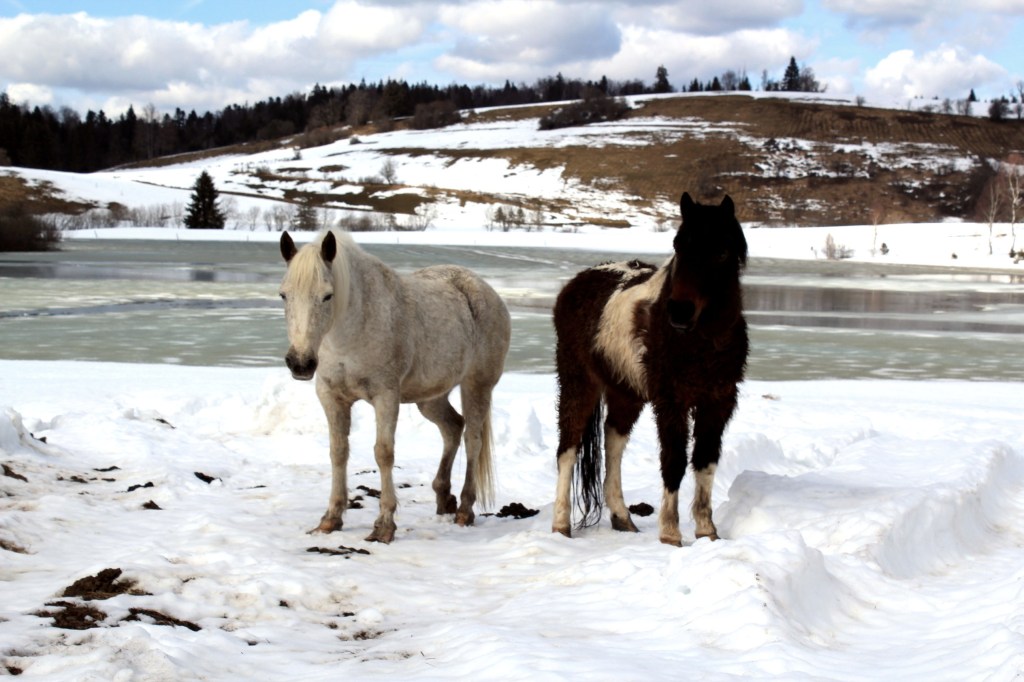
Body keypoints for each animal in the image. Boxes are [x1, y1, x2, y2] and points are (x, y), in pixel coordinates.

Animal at [278, 230, 511, 544]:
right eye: (284, 295)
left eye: (327, 295)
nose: (300, 363)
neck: (350, 333)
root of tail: (486, 291)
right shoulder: (331, 397)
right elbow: (338, 451)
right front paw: (331, 519)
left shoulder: (385, 396)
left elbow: (384, 453)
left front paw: (384, 525)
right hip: (431, 398)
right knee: (452, 428)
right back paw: (444, 498)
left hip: (477, 386)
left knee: (472, 439)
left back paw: (464, 509)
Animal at [551, 192, 748, 546]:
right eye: (679, 245)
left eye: (722, 252)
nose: (680, 311)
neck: (700, 340)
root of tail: (576, 285)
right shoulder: (671, 402)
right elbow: (674, 461)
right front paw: (670, 533)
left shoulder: (719, 401)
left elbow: (705, 461)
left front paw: (706, 530)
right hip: (578, 381)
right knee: (568, 448)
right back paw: (560, 525)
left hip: (625, 393)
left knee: (613, 443)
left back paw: (622, 517)